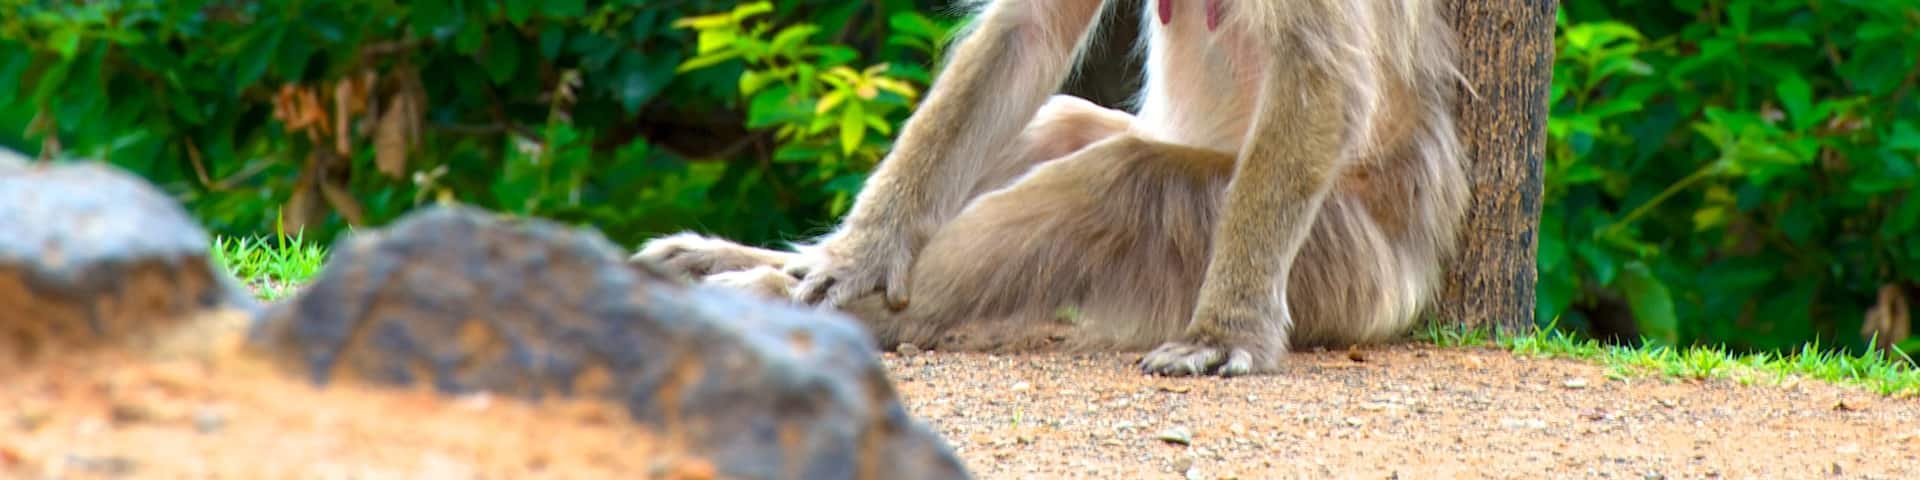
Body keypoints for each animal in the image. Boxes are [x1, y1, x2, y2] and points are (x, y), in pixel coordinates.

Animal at [636, 0, 1470, 378]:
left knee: (1122, 185)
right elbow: (1028, 30)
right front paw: (861, 255)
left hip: (1345, 267)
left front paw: (1227, 332)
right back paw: (761, 269)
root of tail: (1414, 272)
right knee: (1060, 124)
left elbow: (1319, 72)